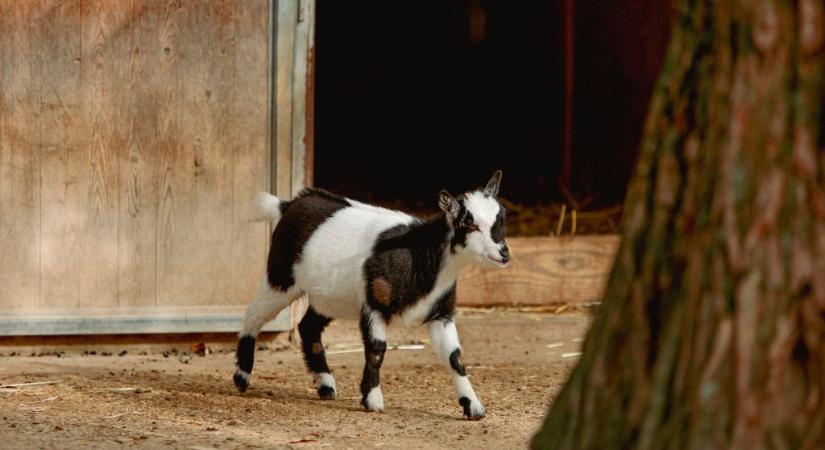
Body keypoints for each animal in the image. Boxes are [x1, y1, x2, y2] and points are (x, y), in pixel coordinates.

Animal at [232, 171, 508, 418]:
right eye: (469, 224)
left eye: (500, 219)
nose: (503, 253)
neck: (419, 253)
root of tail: (288, 204)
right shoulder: (374, 305)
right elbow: (377, 350)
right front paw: (373, 400)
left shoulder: (442, 314)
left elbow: (454, 357)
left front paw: (473, 406)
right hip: (280, 277)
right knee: (254, 314)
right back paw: (242, 377)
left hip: (331, 298)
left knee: (308, 326)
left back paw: (326, 384)